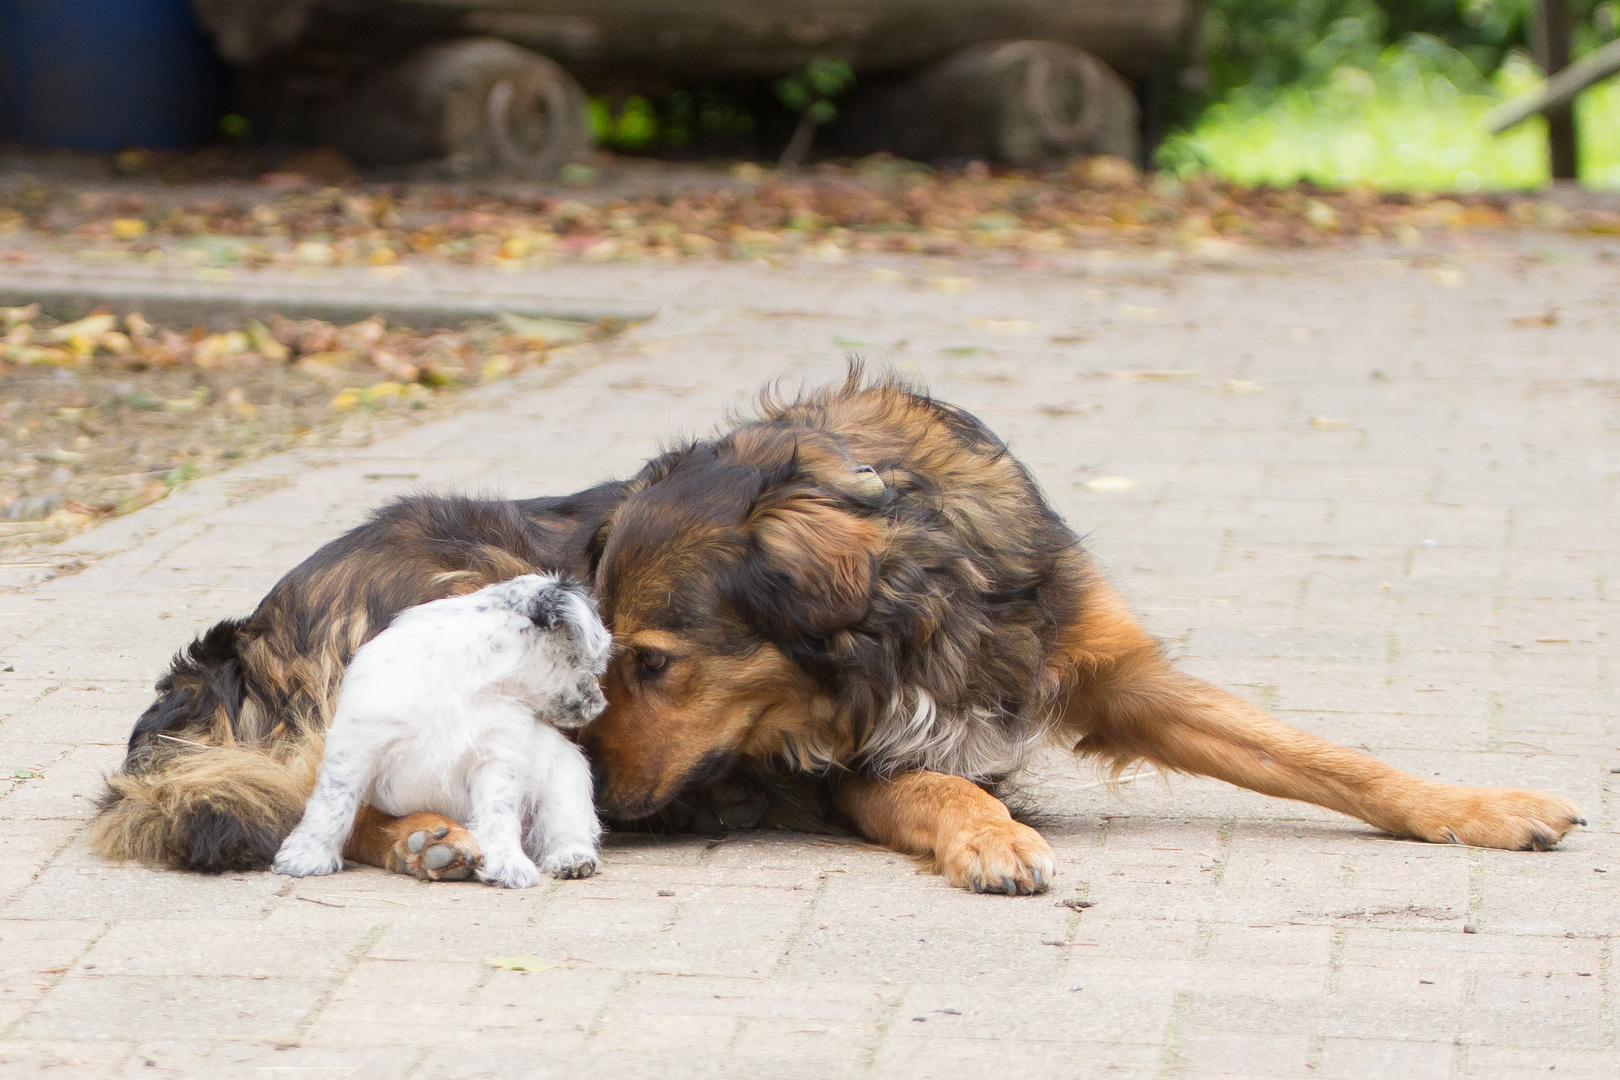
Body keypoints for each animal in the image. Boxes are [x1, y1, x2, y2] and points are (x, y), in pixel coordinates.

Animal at [275, 573, 609, 887]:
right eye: (592, 665)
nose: (601, 705)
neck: (471, 680)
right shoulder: (356, 747)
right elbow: (333, 804)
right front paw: (307, 855)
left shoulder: (496, 761)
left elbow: (498, 815)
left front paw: (507, 863)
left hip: (565, 780)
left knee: (567, 829)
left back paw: (572, 858)